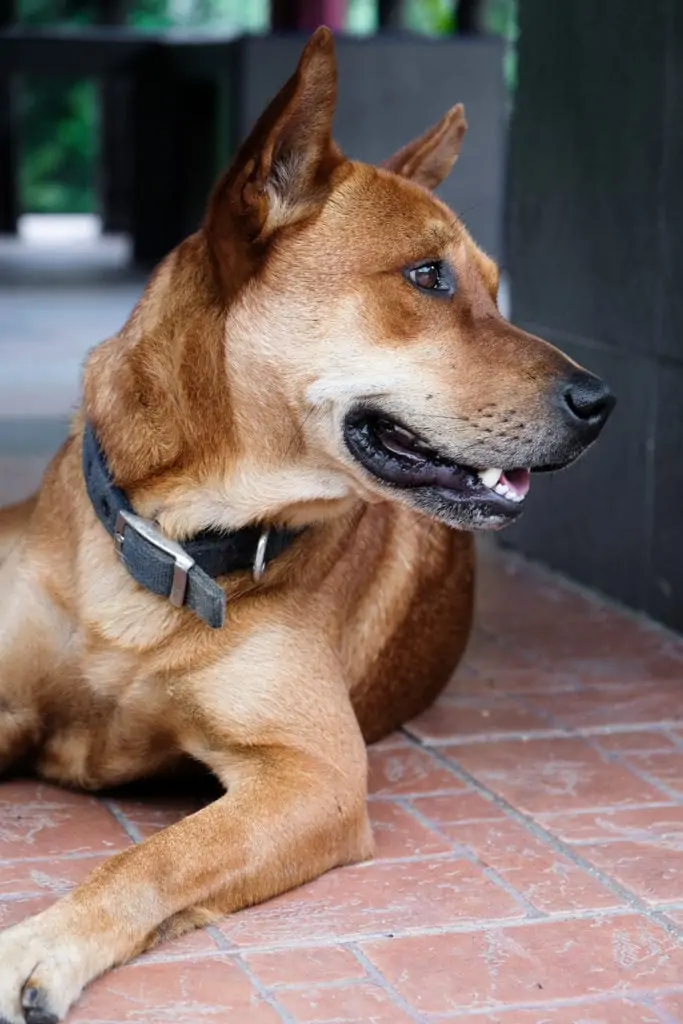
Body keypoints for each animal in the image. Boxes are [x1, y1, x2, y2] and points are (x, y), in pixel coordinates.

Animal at [0, 28, 618, 1019]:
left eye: (493, 287)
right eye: (426, 277)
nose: (602, 403)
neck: (170, 544)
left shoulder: (311, 776)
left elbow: (158, 856)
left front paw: (42, 945)